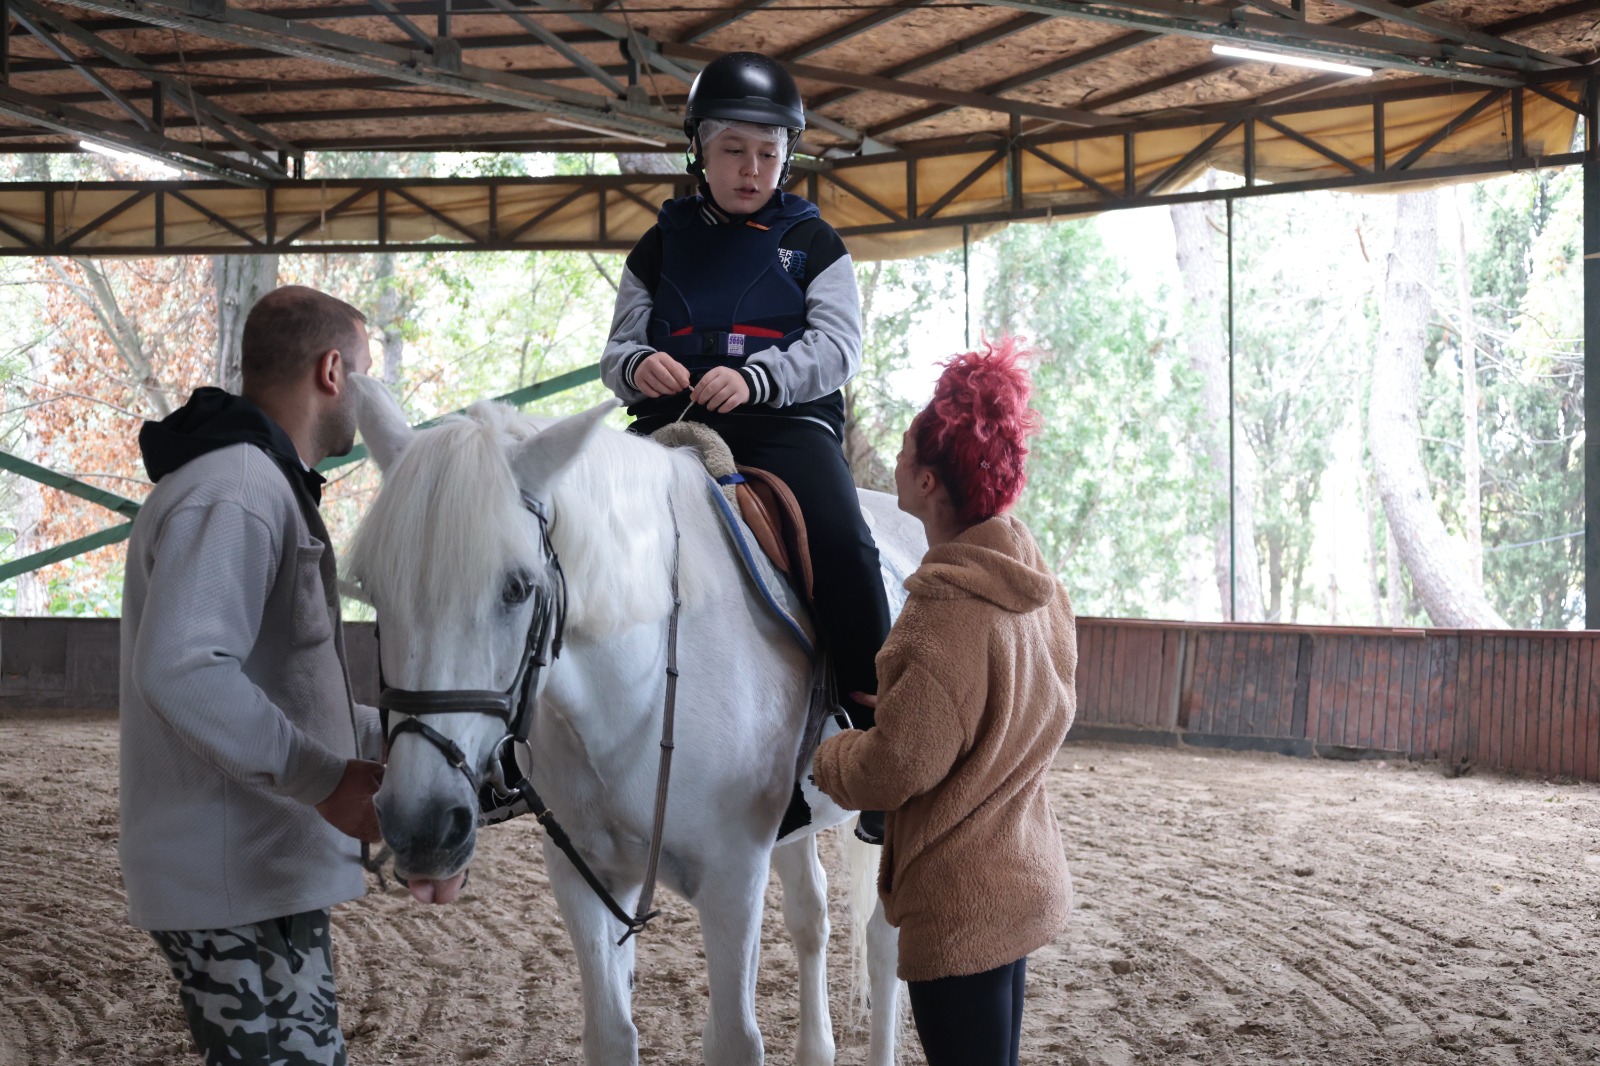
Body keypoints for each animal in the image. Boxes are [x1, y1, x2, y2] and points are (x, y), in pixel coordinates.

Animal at [350, 372, 928, 1062]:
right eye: (373, 590)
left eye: (517, 588)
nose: (422, 826)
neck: (635, 693)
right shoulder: (585, 876)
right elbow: (610, 1032)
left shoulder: (733, 879)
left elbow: (735, 1038)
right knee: (811, 918)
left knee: (884, 940)